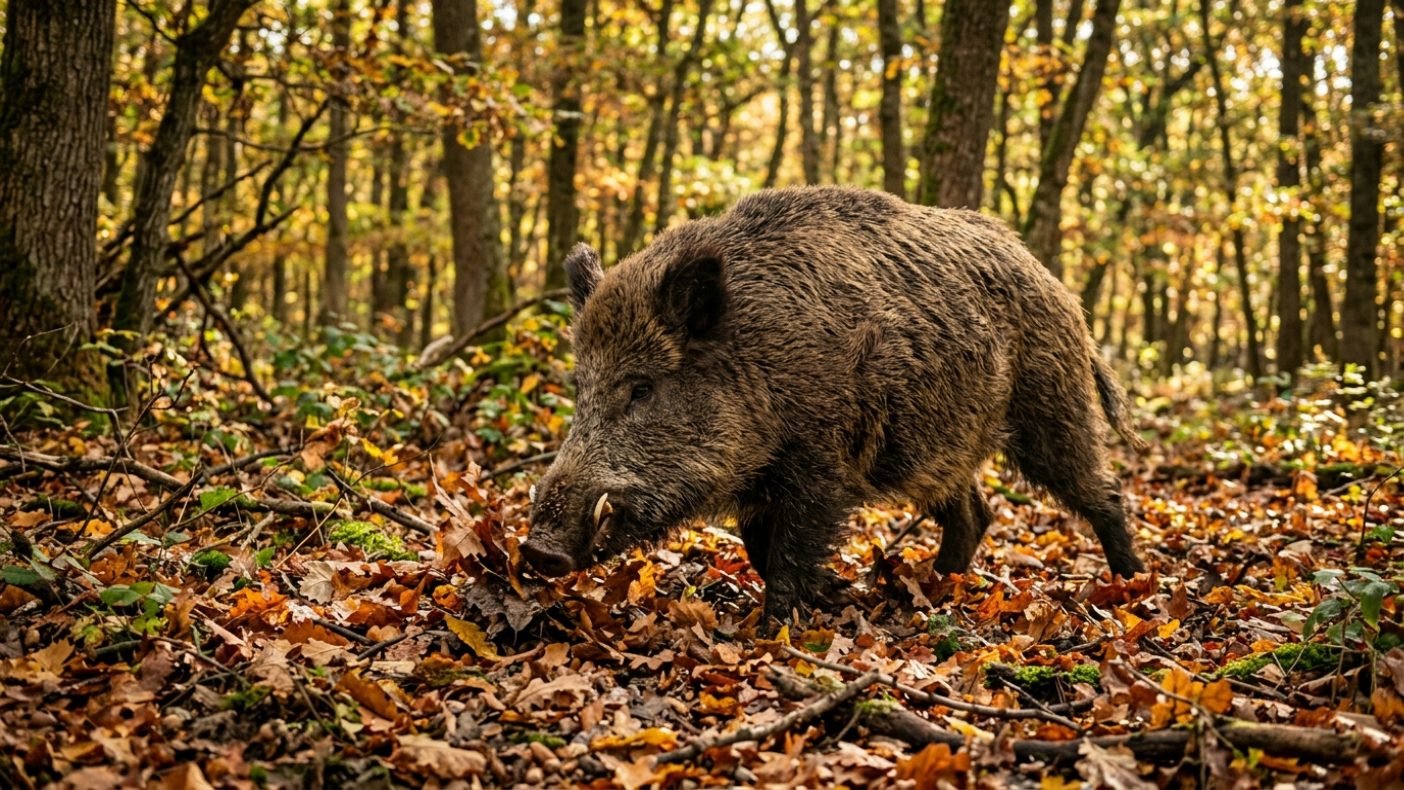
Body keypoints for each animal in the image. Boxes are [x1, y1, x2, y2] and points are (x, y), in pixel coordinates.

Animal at [522, 186, 1146, 621]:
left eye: (642, 387)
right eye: (581, 386)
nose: (536, 549)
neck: (756, 358)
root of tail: (1059, 288)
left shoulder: (822, 463)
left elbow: (791, 552)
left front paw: (778, 626)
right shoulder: (763, 480)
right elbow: (758, 548)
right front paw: (829, 597)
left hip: (1052, 407)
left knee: (1104, 493)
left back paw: (1133, 587)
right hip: (937, 446)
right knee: (975, 512)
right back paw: (936, 588)